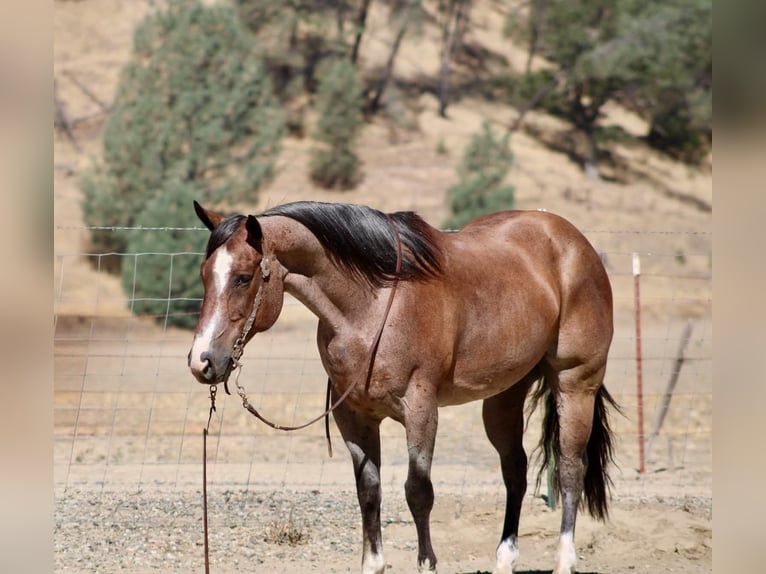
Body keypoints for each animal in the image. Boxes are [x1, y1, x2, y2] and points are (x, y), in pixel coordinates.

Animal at [188, 200, 617, 574]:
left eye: (243, 278)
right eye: (205, 275)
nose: (201, 361)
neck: (372, 305)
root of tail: (576, 242)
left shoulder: (421, 410)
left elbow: (418, 491)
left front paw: (427, 564)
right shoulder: (354, 416)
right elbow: (369, 491)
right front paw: (373, 564)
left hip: (575, 384)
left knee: (569, 468)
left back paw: (564, 560)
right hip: (504, 395)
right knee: (516, 470)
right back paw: (505, 560)